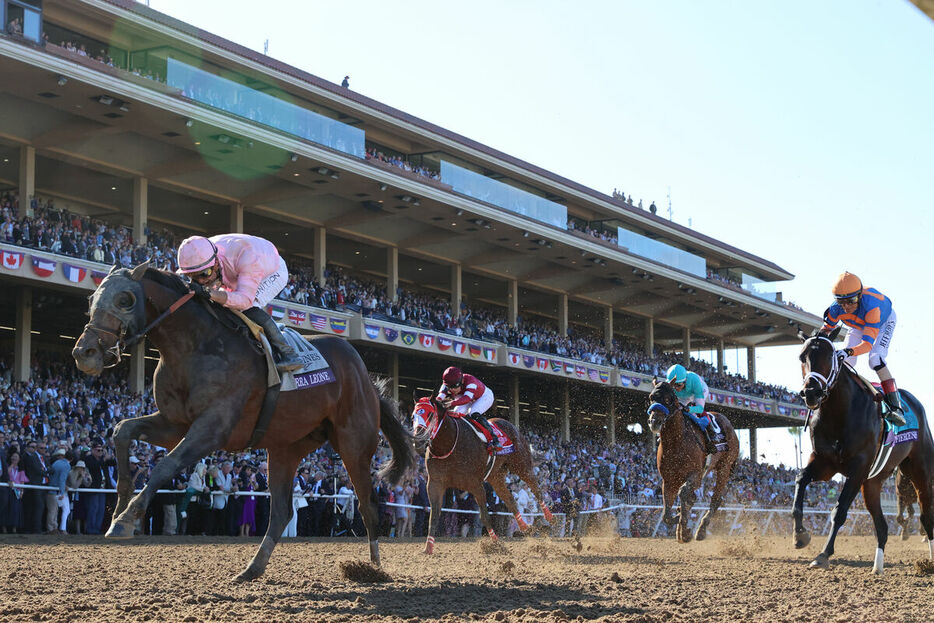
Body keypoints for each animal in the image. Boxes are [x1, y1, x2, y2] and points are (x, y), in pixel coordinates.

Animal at [75, 264, 418, 580]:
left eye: (125, 299)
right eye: (91, 299)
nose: (84, 353)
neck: (194, 347)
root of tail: (366, 377)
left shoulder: (212, 429)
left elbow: (164, 466)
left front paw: (125, 519)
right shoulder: (175, 424)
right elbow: (122, 431)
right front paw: (119, 507)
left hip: (353, 444)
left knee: (368, 504)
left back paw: (374, 568)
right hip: (285, 447)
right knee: (282, 511)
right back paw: (253, 568)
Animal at [412, 398, 556, 552]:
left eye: (429, 415)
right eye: (413, 417)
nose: (418, 441)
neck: (449, 444)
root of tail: (509, 424)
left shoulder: (476, 484)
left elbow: (484, 516)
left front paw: (496, 543)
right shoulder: (435, 483)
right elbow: (434, 515)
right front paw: (428, 547)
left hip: (521, 465)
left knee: (536, 488)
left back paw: (549, 516)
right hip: (496, 477)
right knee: (510, 498)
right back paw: (524, 526)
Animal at [648, 378, 744, 544]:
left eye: (668, 399)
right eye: (651, 398)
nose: (654, 421)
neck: (676, 441)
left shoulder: (696, 474)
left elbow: (684, 494)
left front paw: (685, 529)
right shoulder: (669, 480)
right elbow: (666, 515)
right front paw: (680, 521)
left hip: (724, 467)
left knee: (716, 499)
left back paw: (701, 529)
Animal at [796, 326, 934, 576]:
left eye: (829, 357)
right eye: (803, 357)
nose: (811, 392)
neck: (840, 412)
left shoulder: (858, 467)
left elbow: (839, 510)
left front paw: (823, 555)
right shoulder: (824, 462)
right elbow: (801, 479)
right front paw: (800, 535)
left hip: (920, 472)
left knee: (927, 517)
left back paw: (929, 561)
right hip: (872, 483)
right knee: (882, 526)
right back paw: (877, 567)